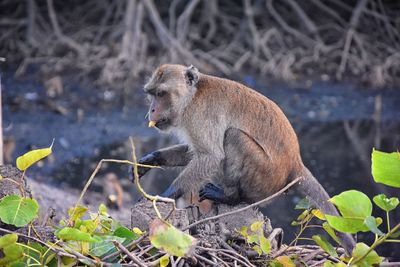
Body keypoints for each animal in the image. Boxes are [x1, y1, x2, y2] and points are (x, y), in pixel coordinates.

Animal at [135, 63, 356, 254]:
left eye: (161, 94)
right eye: (151, 94)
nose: (151, 110)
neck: (192, 97)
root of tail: (295, 163)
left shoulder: (198, 116)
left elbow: (211, 156)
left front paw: (165, 194)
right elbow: (194, 153)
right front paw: (149, 160)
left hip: (265, 179)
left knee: (234, 136)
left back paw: (230, 196)